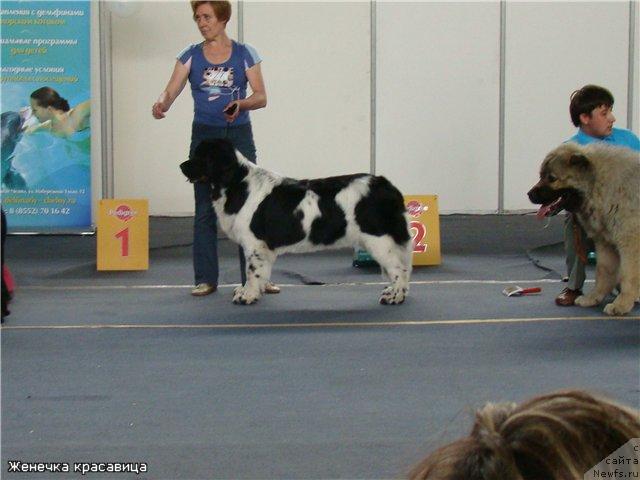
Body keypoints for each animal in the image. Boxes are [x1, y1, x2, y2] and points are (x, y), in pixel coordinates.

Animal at [180, 139, 412, 304]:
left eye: (200, 156)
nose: (181, 165)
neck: (236, 182)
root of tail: (385, 184)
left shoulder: (254, 244)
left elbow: (252, 271)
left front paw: (247, 295)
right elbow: (259, 271)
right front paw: (252, 291)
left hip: (379, 239)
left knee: (399, 268)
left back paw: (395, 296)